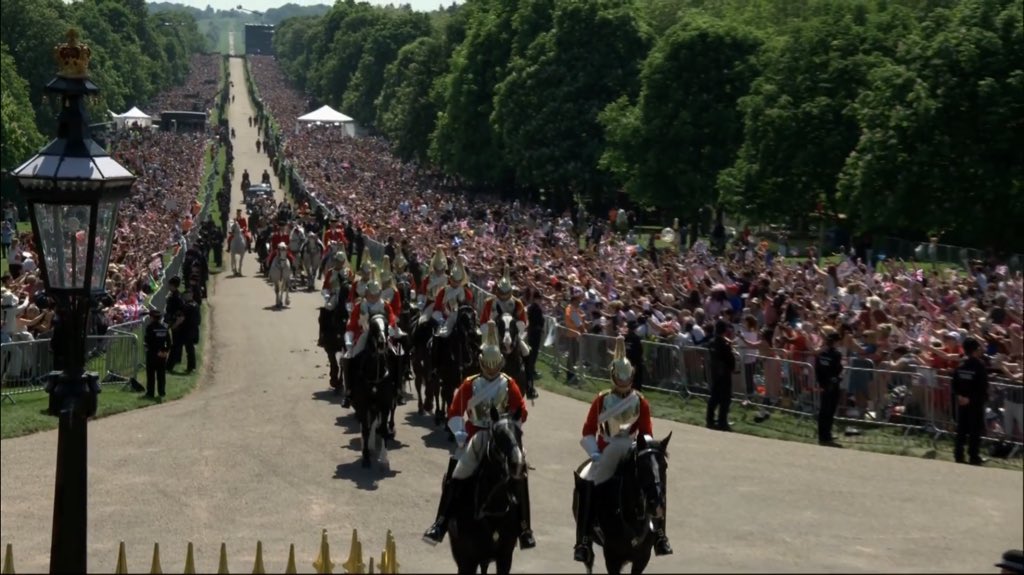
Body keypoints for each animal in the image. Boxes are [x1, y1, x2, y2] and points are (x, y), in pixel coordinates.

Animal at [348, 313, 395, 466]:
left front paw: (384, 458)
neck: (375, 374)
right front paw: (366, 457)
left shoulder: (385, 405)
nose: (381, 344)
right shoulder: (362, 405)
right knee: (366, 427)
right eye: (373, 325)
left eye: (386, 324)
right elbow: (365, 430)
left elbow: (383, 429)